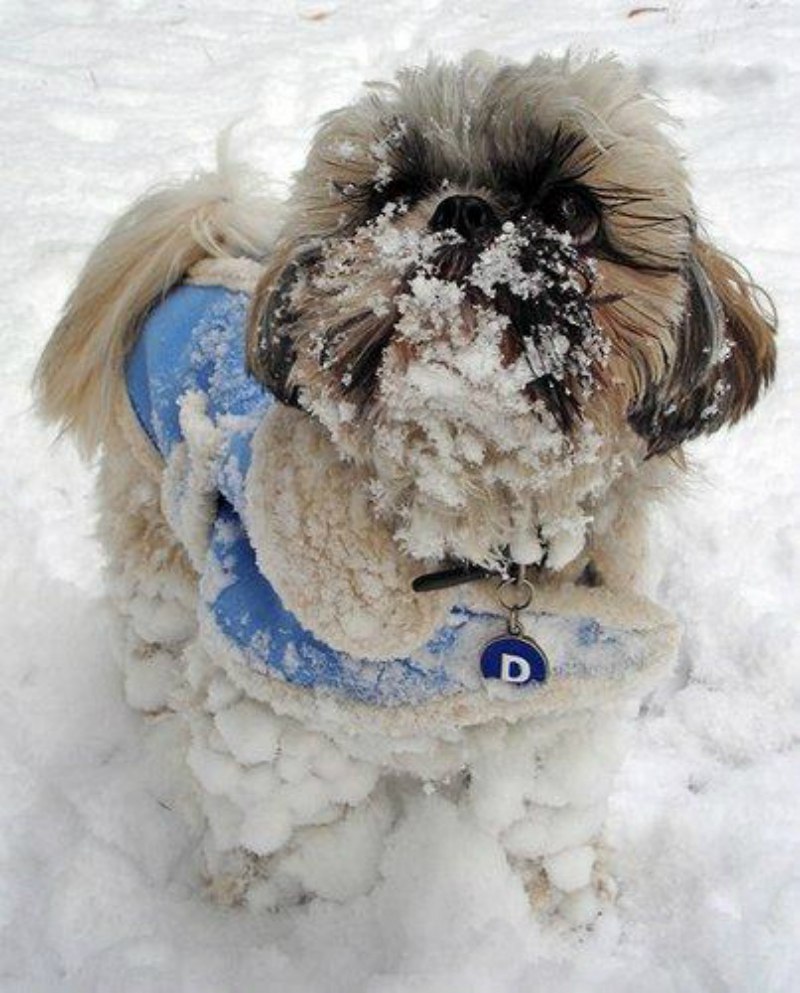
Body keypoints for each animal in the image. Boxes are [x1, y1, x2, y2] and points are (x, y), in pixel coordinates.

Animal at [36, 52, 776, 924]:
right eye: (390, 192)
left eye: (573, 206)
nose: (464, 210)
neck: (470, 527)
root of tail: (201, 256)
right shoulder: (276, 719)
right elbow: (288, 829)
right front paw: (279, 918)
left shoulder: (557, 708)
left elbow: (546, 818)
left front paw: (569, 908)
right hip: (155, 534)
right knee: (153, 629)